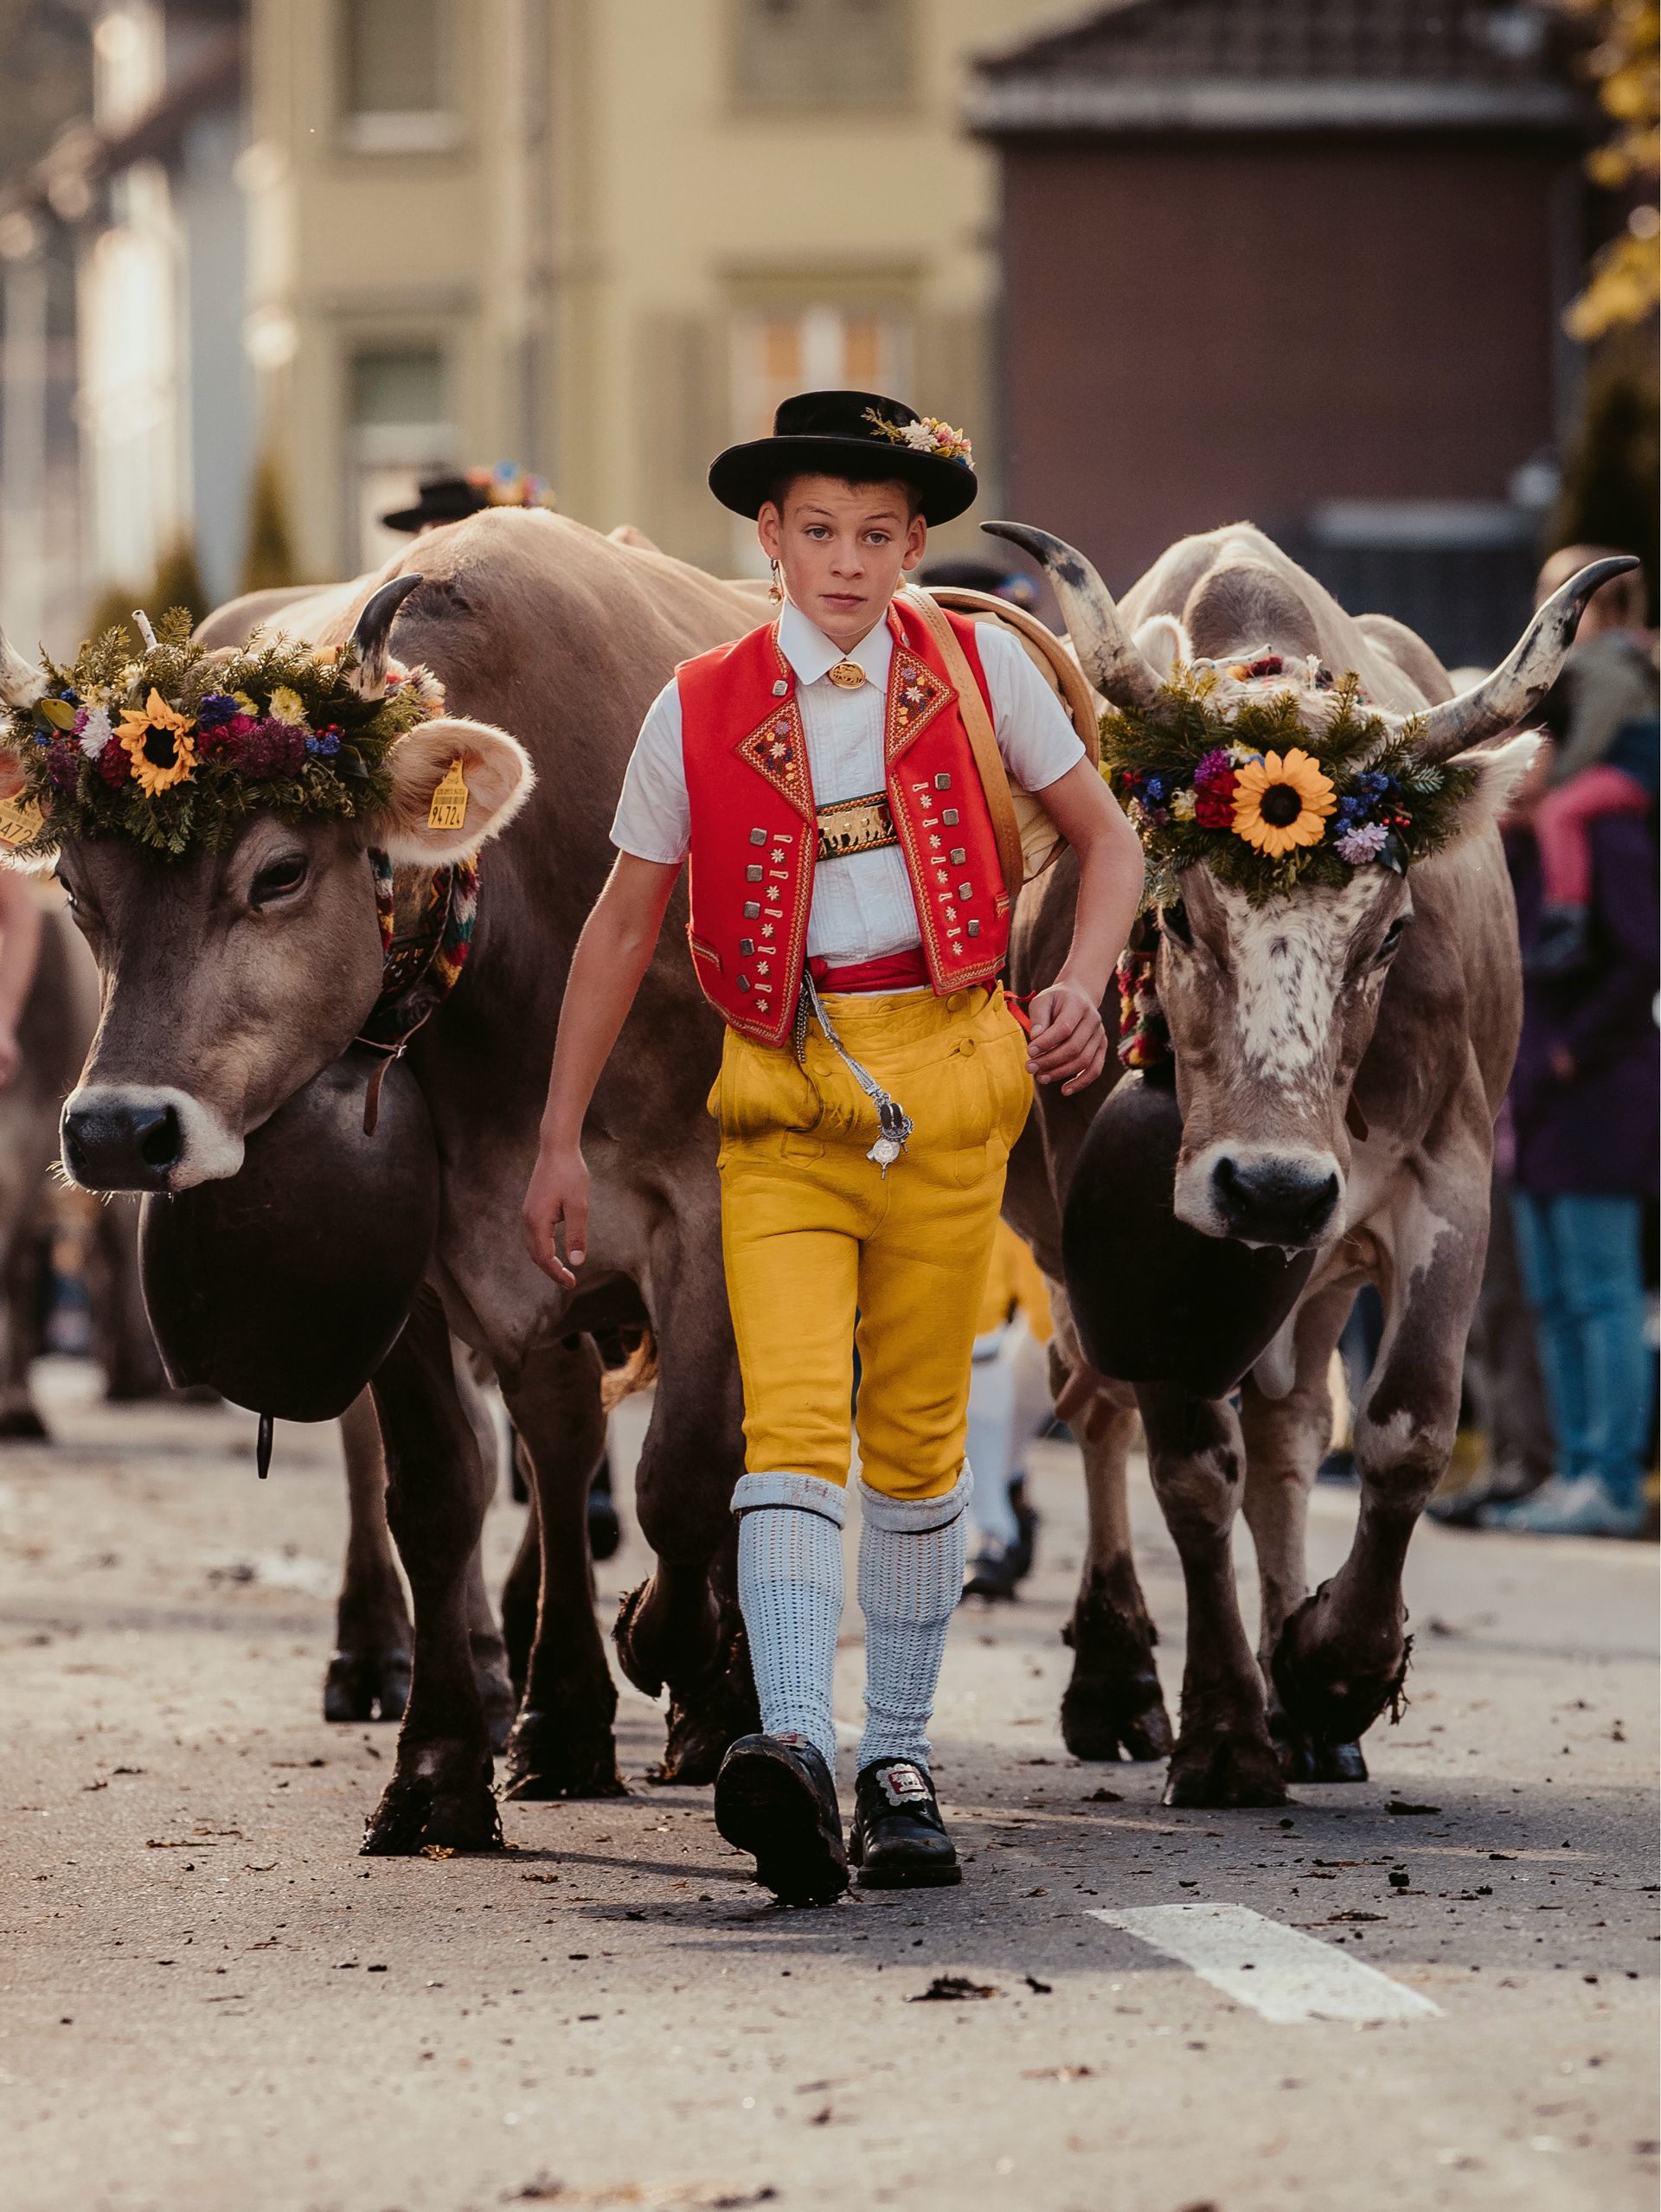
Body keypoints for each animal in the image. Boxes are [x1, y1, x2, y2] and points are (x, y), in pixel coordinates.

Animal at [982, 526, 1627, 1805]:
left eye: (1391, 930)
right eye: (1178, 915)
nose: (1274, 1187)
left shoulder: (1450, 1186)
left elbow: (1405, 1428)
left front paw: (1331, 1671)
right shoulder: (1138, 1235)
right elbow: (1190, 1463)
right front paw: (1226, 1730)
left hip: (1319, 1269)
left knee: (1290, 1427)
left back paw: (1305, 1701)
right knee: (1101, 1409)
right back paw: (1121, 1676)